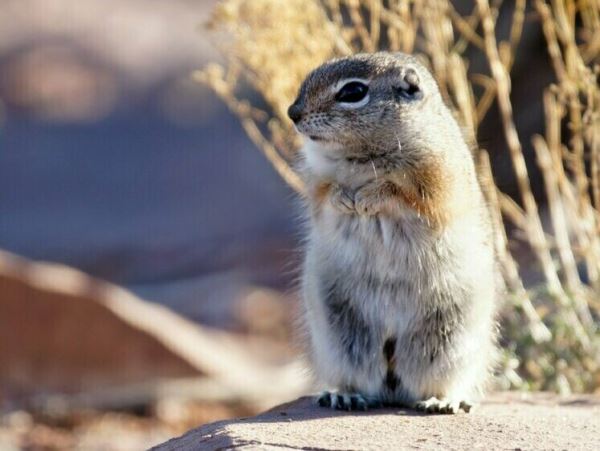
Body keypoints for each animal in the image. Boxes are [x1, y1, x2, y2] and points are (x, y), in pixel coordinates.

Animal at [288, 52, 500, 414]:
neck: (361, 156)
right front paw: (346, 199)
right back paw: (344, 395)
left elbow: (399, 191)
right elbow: (326, 194)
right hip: (340, 338)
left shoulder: (436, 181)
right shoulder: (316, 181)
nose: (292, 113)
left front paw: (368, 198)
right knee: (362, 377)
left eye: (353, 92)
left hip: (449, 342)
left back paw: (441, 401)